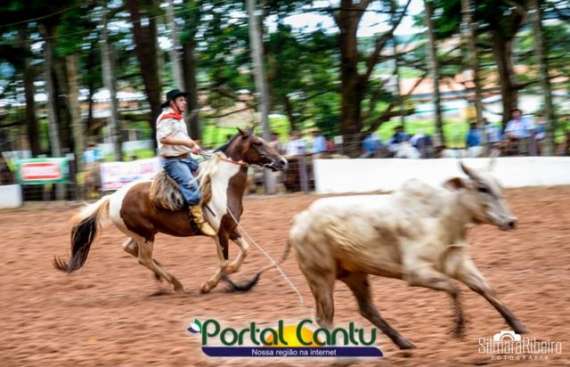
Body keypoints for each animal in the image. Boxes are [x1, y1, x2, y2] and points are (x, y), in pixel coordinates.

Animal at [53, 129, 286, 294]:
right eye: (258, 143)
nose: (282, 161)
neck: (221, 184)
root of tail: (112, 198)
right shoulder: (220, 232)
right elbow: (225, 263)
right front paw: (209, 285)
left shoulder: (231, 228)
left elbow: (244, 251)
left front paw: (235, 280)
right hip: (146, 235)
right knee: (143, 259)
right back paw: (176, 283)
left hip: (141, 234)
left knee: (130, 249)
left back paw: (164, 281)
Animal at [286, 162, 524, 350]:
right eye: (482, 188)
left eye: (499, 186)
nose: (511, 221)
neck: (440, 217)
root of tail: (300, 220)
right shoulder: (416, 273)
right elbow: (454, 288)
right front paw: (458, 328)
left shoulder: (459, 263)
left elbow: (485, 288)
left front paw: (518, 325)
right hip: (321, 277)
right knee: (324, 319)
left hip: (355, 274)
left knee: (367, 310)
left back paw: (403, 342)